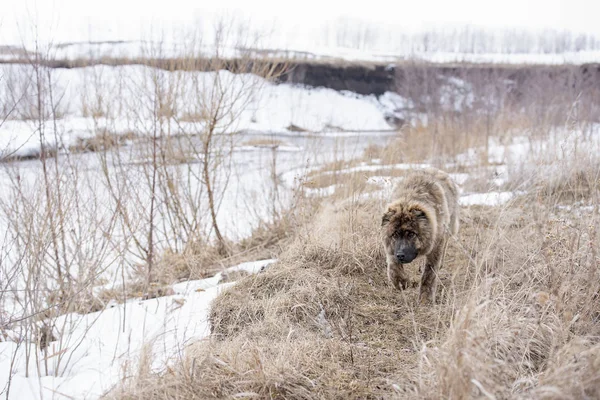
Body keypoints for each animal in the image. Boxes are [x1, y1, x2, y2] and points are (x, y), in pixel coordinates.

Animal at [380, 169, 460, 304]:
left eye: (411, 234)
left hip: (448, 229)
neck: (409, 199)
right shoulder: (391, 249)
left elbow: (429, 275)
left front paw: (425, 300)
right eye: (395, 234)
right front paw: (400, 281)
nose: (400, 255)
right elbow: (393, 267)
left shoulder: (436, 245)